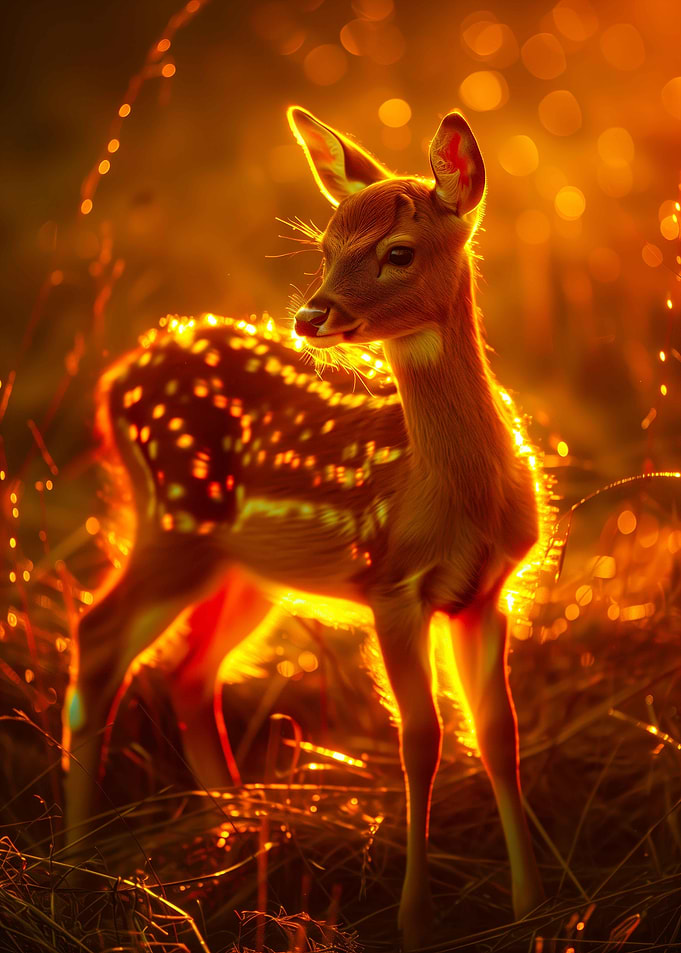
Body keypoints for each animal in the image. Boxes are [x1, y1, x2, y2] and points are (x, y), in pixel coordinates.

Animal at [61, 106, 545, 949]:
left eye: (396, 250)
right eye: (324, 247)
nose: (311, 313)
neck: (455, 496)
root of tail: (115, 377)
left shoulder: (487, 591)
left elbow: (498, 734)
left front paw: (529, 906)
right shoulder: (391, 581)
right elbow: (420, 739)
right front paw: (415, 919)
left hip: (246, 569)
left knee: (190, 671)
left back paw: (230, 822)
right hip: (176, 522)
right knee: (98, 634)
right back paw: (81, 858)